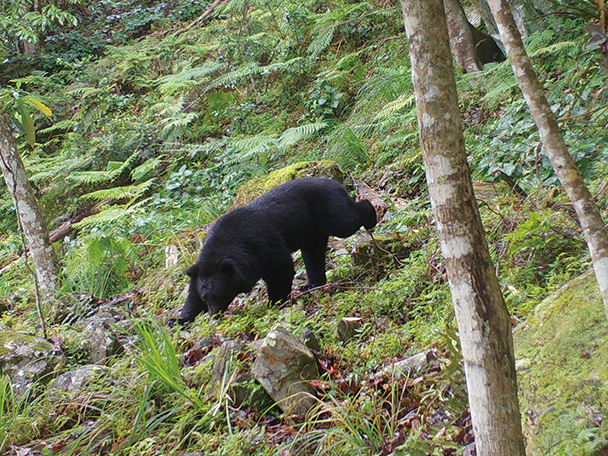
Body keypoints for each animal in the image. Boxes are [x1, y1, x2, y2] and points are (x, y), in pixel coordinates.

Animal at [179, 176, 376, 322]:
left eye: (219, 294)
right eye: (206, 297)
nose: (214, 314)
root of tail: (336, 183)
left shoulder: (262, 243)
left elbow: (280, 269)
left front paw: (274, 302)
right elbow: (192, 292)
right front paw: (181, 318)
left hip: (328, 208)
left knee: (346, 220)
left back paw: (371, 217)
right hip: (310, 229)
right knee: (313, 255)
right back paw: (312, 284)